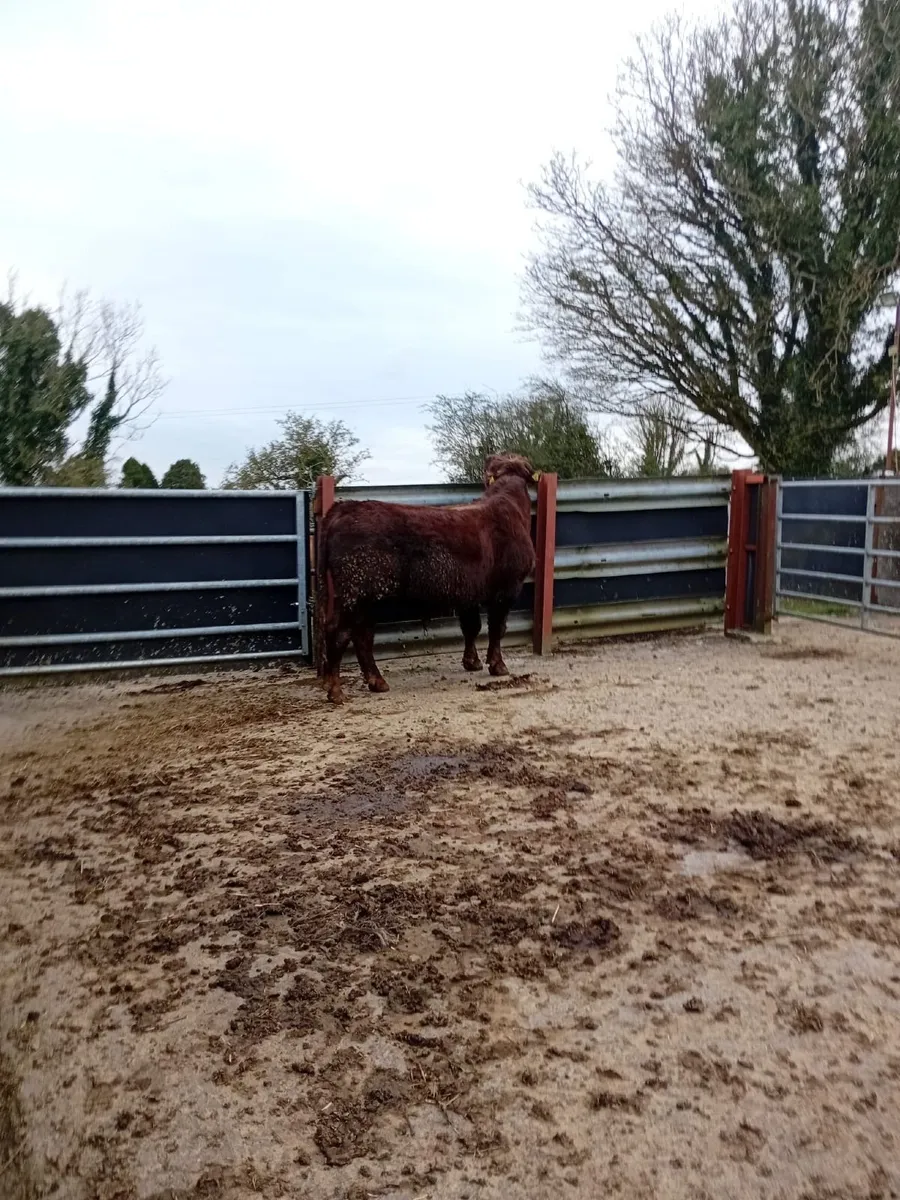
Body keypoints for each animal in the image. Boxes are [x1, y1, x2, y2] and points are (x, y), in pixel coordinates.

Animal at [316, 453, 540, 704]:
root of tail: (344, 508)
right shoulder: (508, 589)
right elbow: (497, 628)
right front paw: (498, 665)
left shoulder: (468, 594)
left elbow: (471, 627)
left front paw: (472, 662)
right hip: (356, 594)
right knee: (341, 633)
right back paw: (337, 691)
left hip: (357, 599)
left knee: (359, 635)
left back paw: (375, 682)